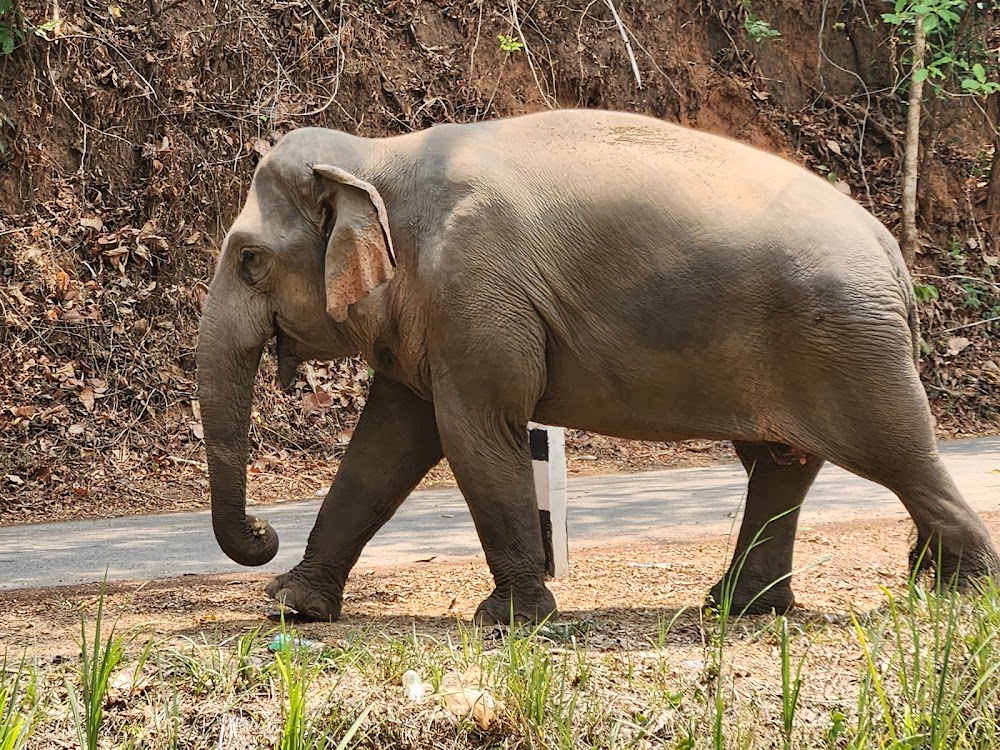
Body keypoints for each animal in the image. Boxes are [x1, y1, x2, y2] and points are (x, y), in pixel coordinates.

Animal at [197, 106, 1000, 624]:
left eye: (249, 260)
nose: (263, 532)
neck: (376, 156)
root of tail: (890, 246)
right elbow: (388, 444)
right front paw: (293, 608)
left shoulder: (477, 293)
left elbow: (474, 433)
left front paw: (510, 621)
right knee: (783, 462)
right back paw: (741, 608)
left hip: (848, 346)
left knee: (898, 452)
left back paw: (959, 592)